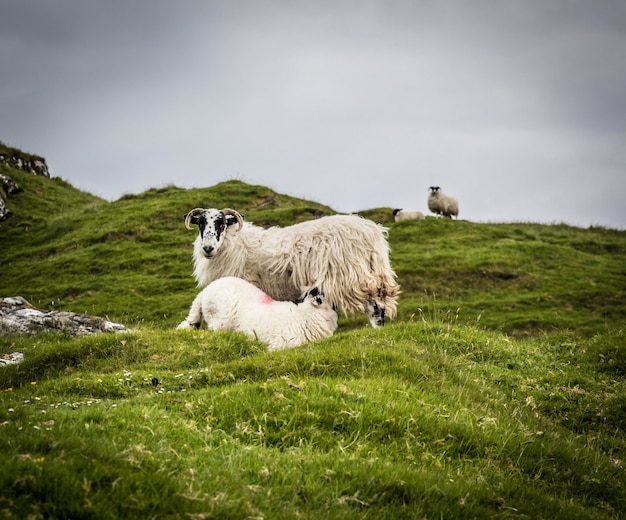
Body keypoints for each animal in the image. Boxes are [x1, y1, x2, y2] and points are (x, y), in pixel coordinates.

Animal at [180, 208, 398, 328]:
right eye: (200, 223)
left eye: (221, 223)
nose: (207, 248)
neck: (234, 243)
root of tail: (371, 230)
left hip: (353, 274)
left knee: (374, 304)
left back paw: (377, 327)